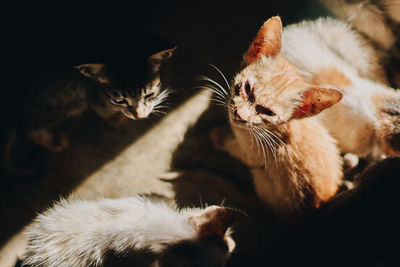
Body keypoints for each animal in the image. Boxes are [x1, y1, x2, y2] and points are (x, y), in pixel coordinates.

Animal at [212, 16, 344, 218]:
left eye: (268, 112)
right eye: (247, 88)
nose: (239, 115)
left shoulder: (252, 154)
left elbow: (234, 148)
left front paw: (218, 136)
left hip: (262, 181)